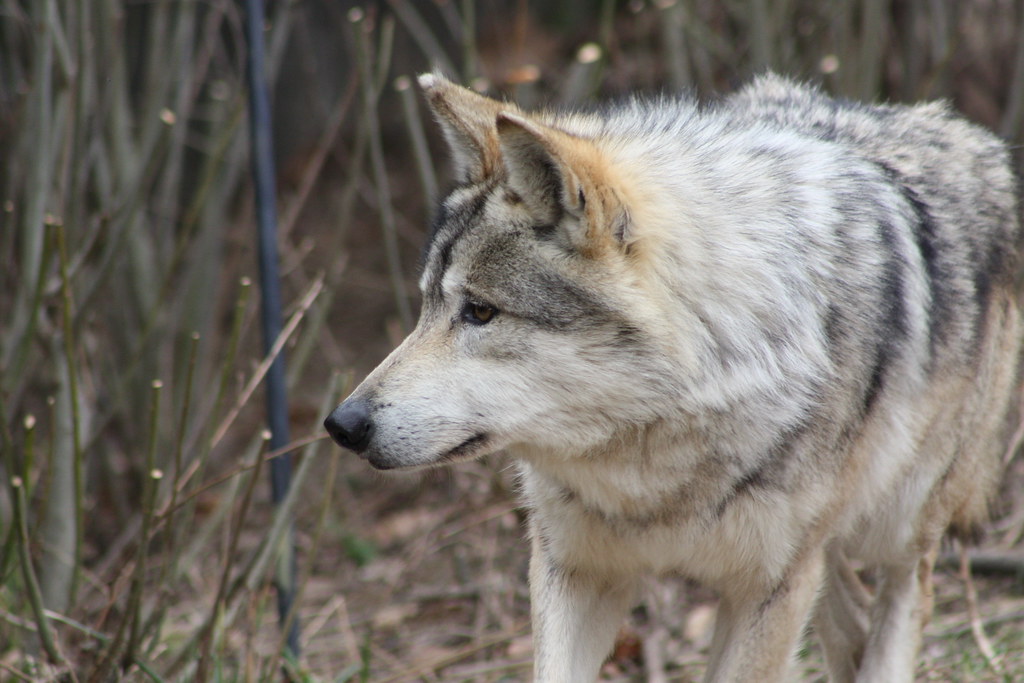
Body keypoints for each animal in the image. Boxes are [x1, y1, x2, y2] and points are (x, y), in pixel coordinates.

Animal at [324, 72, 1022, 682]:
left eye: (480, 312)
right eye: (427, 306)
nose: (342, 425)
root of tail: (972, 137)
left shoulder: (767, 590)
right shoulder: (573, 571)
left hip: (897, 527)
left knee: (902, 604)